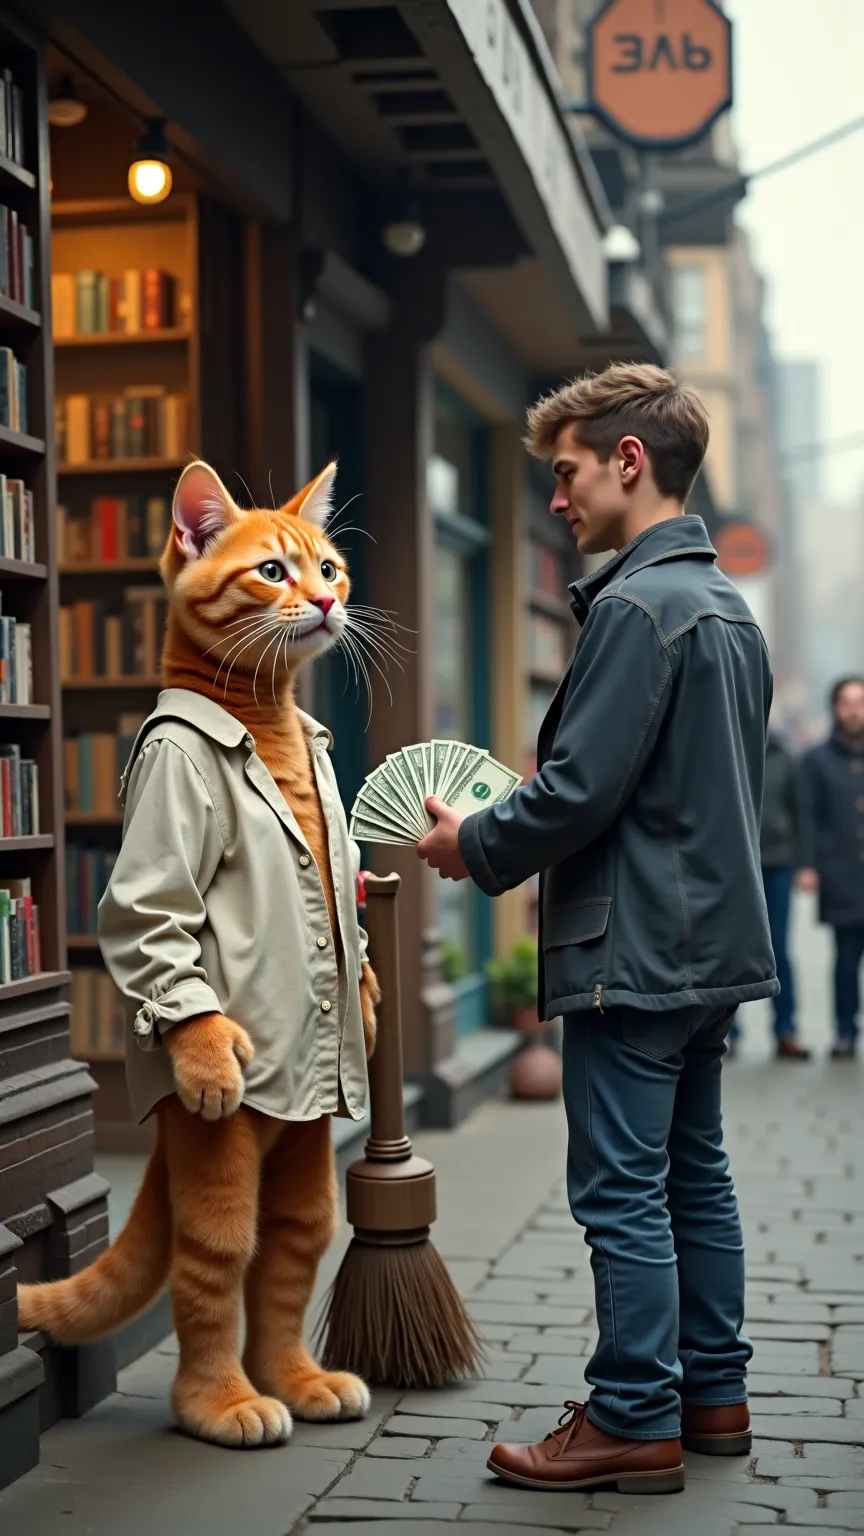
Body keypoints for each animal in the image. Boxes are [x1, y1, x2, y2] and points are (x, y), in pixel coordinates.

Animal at [15, 460, 379, 1443]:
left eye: (328, 567)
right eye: (272, 572)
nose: (326, 601)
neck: (270, 715)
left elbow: (358, 923)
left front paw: (370, 994)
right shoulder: (162, 833)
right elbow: (161, 930)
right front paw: (210, 1050)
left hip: (304, 1149)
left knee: (292, 1246)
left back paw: (295, 1378)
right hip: (217, 1148)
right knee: (214, 1260)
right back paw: (221, 1401)